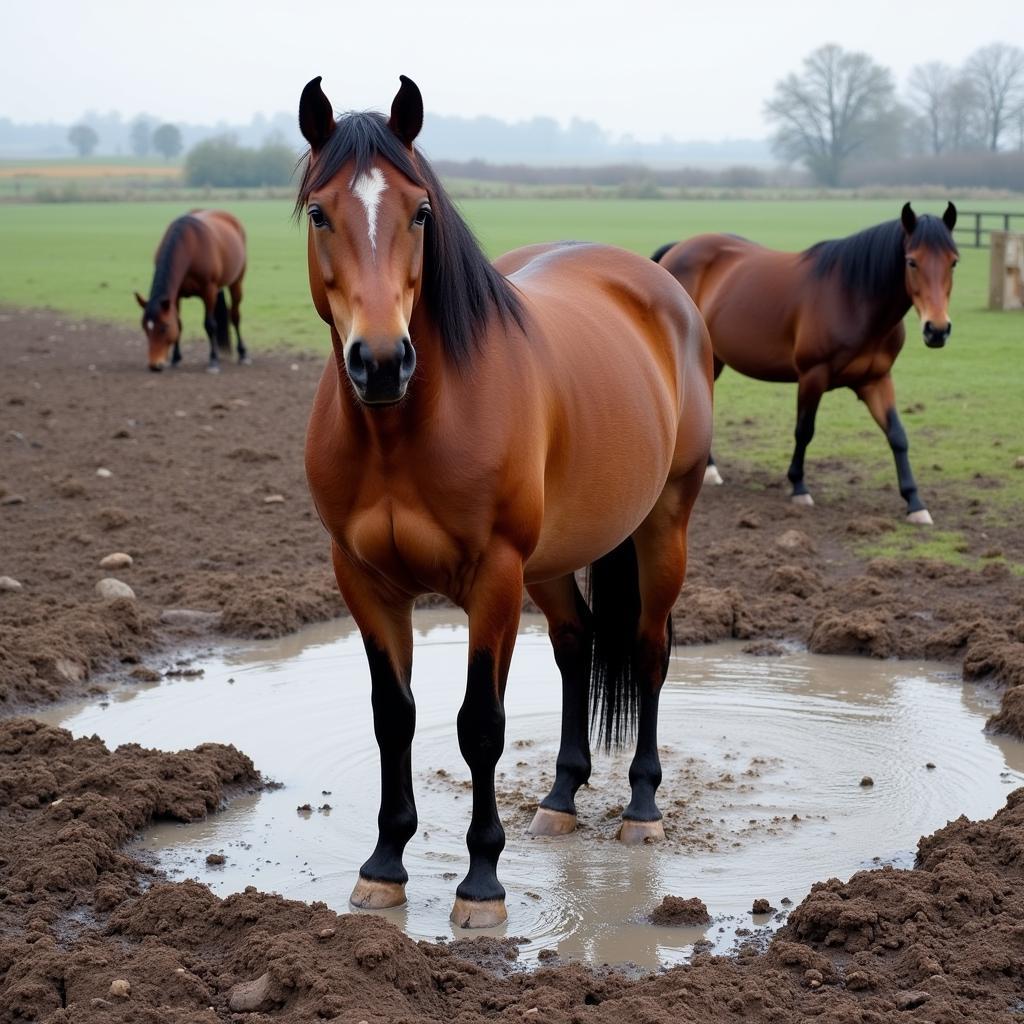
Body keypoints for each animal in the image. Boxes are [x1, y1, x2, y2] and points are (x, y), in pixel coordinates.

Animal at [134, 207, 249, 372]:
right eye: (145, 327)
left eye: (164, 327)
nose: (155, 365)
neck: (189, 246)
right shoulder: (176, 296)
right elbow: (179, 324)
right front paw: (176, 358)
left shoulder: (209, 290)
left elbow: (209, 324)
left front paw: (213, 360)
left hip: (236, 282)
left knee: (235, 316)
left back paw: (243, 353)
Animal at [296, 75, 712, 929]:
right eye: (320, 213)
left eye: (420, 210)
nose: (381, 362)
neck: (406, 429)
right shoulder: (364, 580)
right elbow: (394, 716)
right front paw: (384, 866)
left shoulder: (493, 577)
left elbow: (479, 725)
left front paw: (481, 882)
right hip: (551, 560)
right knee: (577, 643)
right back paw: (560, 797)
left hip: (663, 526)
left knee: (648, 652)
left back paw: (641, 809)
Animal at [655, 201, 958, 520]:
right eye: (912, 262)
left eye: (953, 262)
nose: (937, 329)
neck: (854, 298)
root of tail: (678, 248)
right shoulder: (813, 375)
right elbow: (804, 431)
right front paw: (799, 486)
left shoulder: (876, 380)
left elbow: (897, 435)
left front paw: (915, 503)